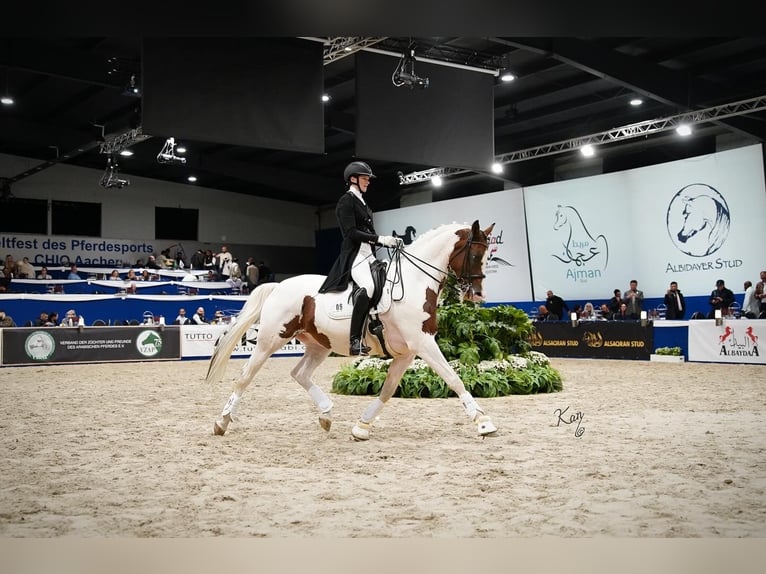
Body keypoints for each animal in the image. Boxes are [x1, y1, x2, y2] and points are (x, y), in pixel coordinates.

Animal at [206, 220, 498, 441]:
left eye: (488, 257)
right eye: (474, 255)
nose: (477, 296)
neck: (414, 282)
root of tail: (278, 286)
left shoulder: (407, 352)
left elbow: (388, 389)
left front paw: (362, 426)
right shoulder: (423, 343)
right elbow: (453, 378)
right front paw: (483, 421)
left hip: (318, 345)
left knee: (299, 374)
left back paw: (325, 415)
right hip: (270, 340)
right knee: (245, 377)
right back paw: (222, 422)